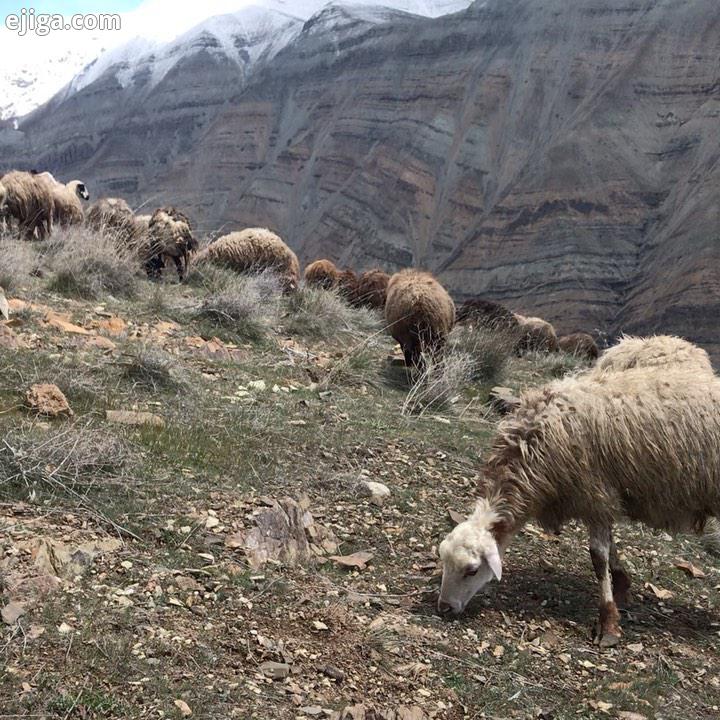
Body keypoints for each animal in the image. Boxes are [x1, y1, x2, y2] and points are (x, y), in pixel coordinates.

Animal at [436, 366, 720, 648]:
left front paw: (608, 623)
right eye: (444, 561)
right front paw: (621, 586)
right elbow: (609, 547)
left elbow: (598, 556)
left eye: (472, 570)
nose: (444, 608)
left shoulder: (596, 492)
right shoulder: (600, 498)